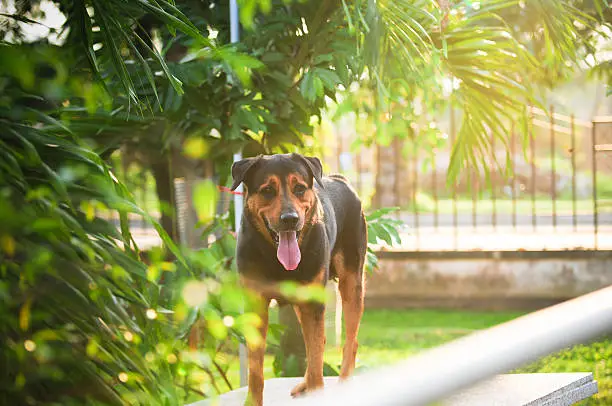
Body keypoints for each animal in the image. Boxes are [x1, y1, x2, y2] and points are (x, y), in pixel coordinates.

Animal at [228, 153, 364, 406]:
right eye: (267, 190)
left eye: (300, 188)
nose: (290, 219)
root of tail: (340, 179)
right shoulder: (256, 304)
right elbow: (255, 368)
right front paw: (252, 401)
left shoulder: (313, 303)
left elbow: (316, 356)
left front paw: (317, 390)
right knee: (317, 345)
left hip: (352, 282)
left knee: (348, 340)